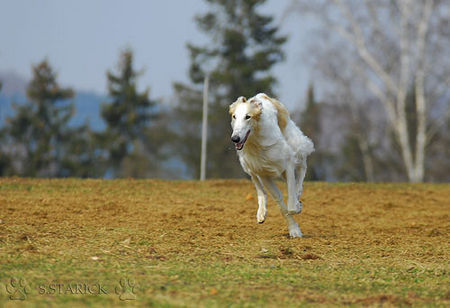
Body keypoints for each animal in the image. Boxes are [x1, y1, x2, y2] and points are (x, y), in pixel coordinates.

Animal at [229, 94, 312, 238]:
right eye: (234, 116)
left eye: (248, 116)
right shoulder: (262, 172)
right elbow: (280, 202)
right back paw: (261, 212)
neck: (256, 142)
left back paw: (298, 193)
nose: (235, 138)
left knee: (302, 166)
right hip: (248, 165)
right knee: (260, 188)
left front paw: (297, 207)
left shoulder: (287, 163)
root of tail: (261, 96)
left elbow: (291, 204)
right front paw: (294, 229)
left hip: (295, 144)